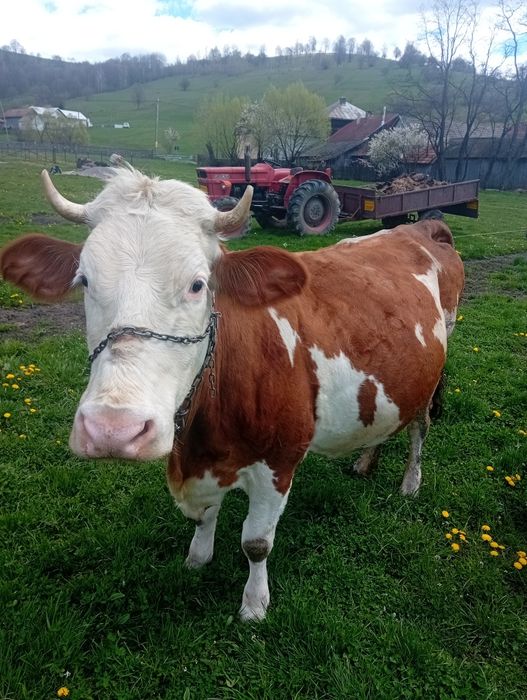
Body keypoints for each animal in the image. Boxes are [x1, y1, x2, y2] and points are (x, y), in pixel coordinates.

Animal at [0, 162, 464, 621]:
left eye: (198, 284)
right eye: (84, 280)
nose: (113, 429)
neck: (202, 437)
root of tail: (421, 227)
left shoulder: (279, 461)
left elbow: (255, 543)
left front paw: (254, 604)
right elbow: (205, 518)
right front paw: (197, 556)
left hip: (436, 365)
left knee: (420, 427)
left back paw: (410, 482)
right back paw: (366, 461)